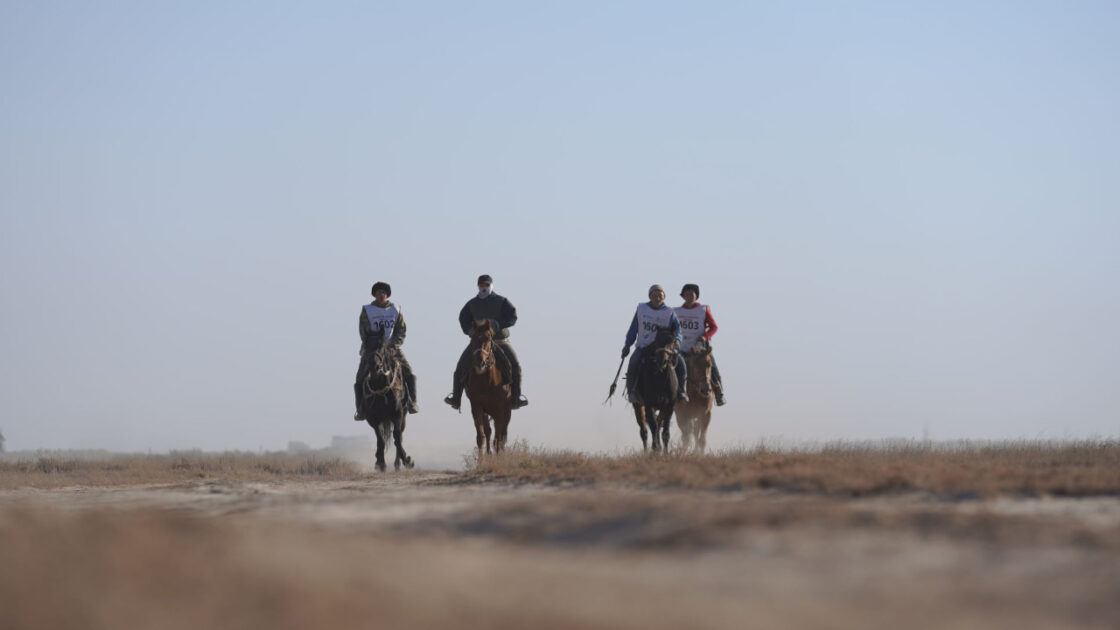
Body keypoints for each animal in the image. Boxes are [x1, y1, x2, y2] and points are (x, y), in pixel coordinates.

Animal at [356, 338, 414, 470]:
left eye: (381, 347)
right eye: (366, 346)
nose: (375, 367)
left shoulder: (397, 414)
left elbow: (397, 437)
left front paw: (407, 460)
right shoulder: (372, 419)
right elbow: (380, 440)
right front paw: (381, 463)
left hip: (403, 417)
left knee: (399, 436)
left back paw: (397, 464)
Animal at [461, 318, 512, 450]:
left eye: (489, 338)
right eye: (472, 337)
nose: (480, 361)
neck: (489, 383)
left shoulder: (500, 409)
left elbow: (498, 439)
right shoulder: (477, 407)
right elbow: (481, 436)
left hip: (506, 412)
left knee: (502, 435)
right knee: (489, 432)